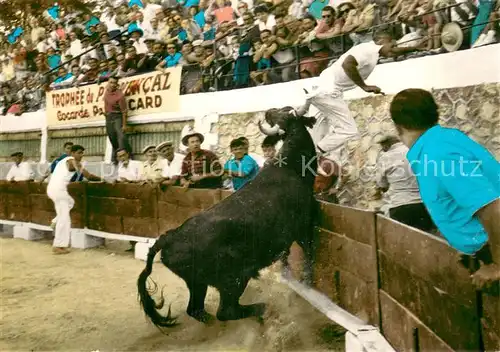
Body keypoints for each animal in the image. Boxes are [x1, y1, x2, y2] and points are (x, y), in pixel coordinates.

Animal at [137, 103, 318, 326]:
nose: (269, 112)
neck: (290, 166)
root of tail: (170, 236)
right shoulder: (302, 228)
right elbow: (308, 255)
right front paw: (308, 282)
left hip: (197, 282)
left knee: (195, 309)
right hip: (234, 278)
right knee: (226, 311)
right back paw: (263, 309)